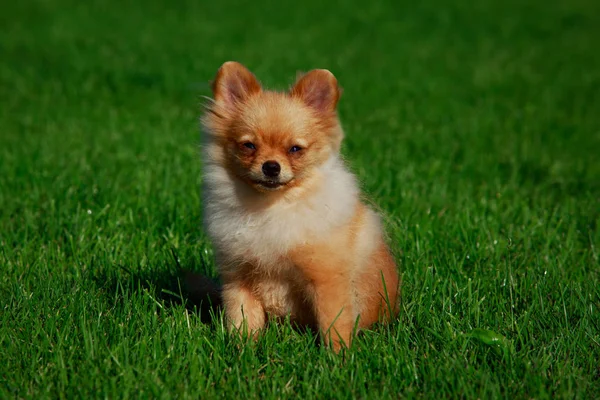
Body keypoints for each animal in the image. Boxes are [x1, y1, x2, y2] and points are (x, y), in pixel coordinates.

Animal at [200, 61, 398, 350]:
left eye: (295, 149)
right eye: (248, 146)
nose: (271, 166)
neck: (271, 208)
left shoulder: (327, 280)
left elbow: (334, 323)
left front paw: (338, 356)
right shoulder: (239, 277)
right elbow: (242, 317)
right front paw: (242, 349)